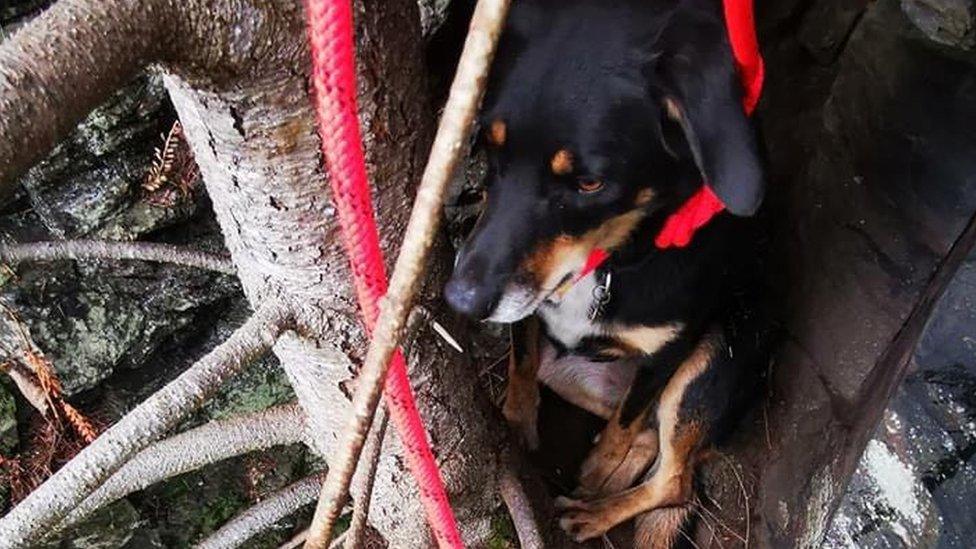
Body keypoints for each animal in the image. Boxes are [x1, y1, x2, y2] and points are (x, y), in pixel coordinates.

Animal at [446, 0, 768, 544]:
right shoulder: (528, 312)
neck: (610, 263)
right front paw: (516, 422)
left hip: (713, 361)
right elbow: (522, 361)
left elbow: (625, 420)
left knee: (674, 478)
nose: (461, 300)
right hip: (568, 374)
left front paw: (598, 467)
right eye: (490, 148)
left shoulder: (668, 353)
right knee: (649, 442)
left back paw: (592, 510)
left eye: (589, 183)